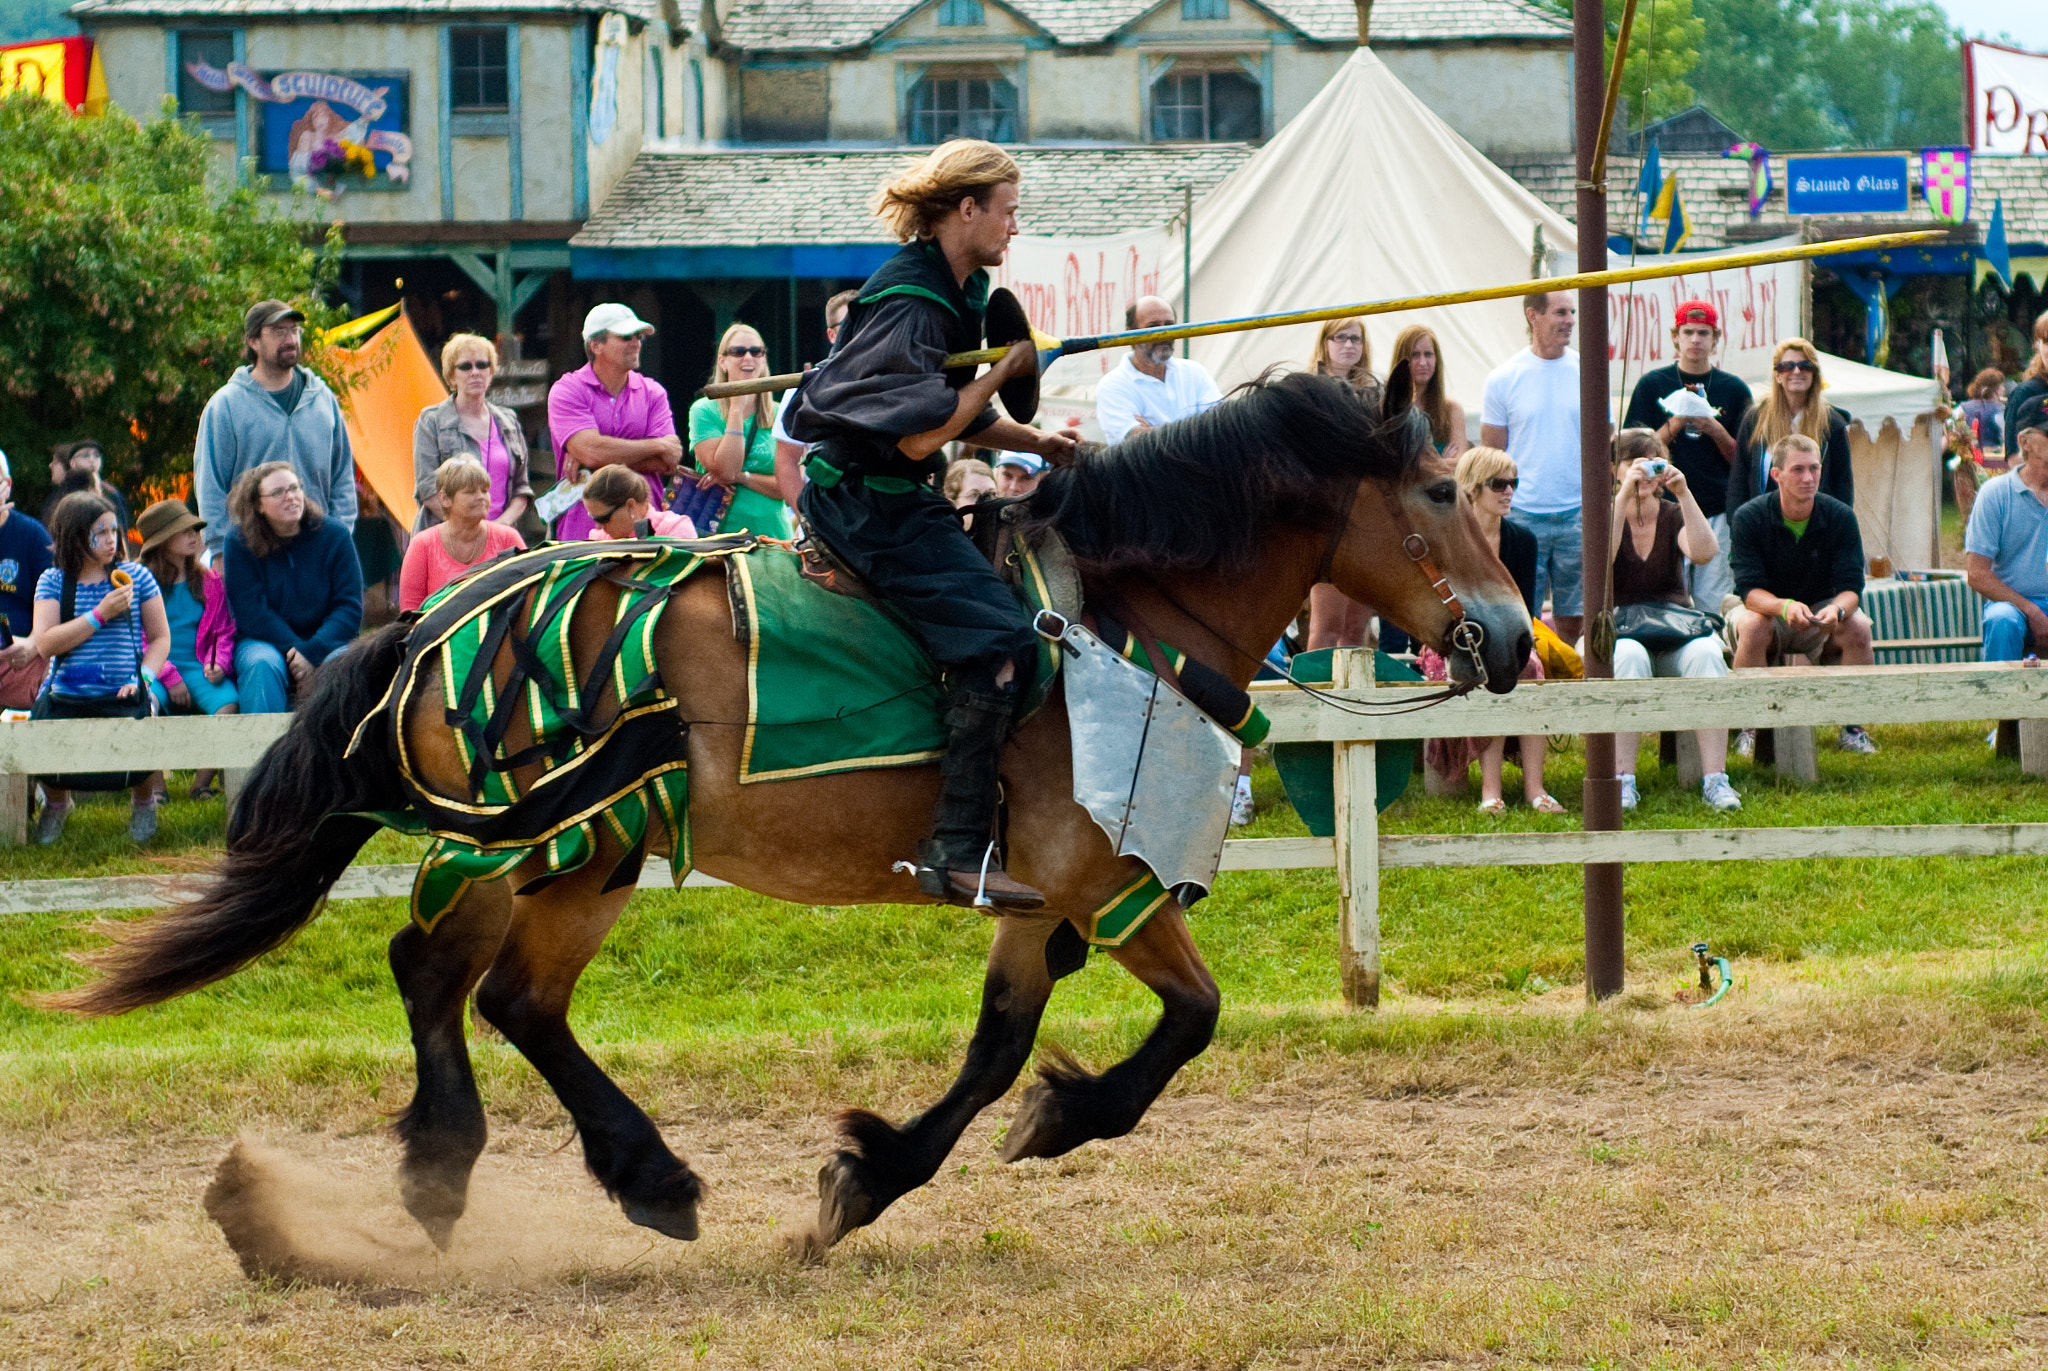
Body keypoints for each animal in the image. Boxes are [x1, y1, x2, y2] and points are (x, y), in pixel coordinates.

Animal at [44, 362, 1540, 1254]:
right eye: (1432, 490)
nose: (1515, 645)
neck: (1127, 611)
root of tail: (429, 616)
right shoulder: (1101, 877)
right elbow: (1191, 1020)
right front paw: (1052, 1121)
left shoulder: (1041, 895)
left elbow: (998, 1046)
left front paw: (868, 1178)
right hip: (551, 841)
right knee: (460, 981)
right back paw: (561, 1173)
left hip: (563, 853)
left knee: (480, 988)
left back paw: (525, 1171)